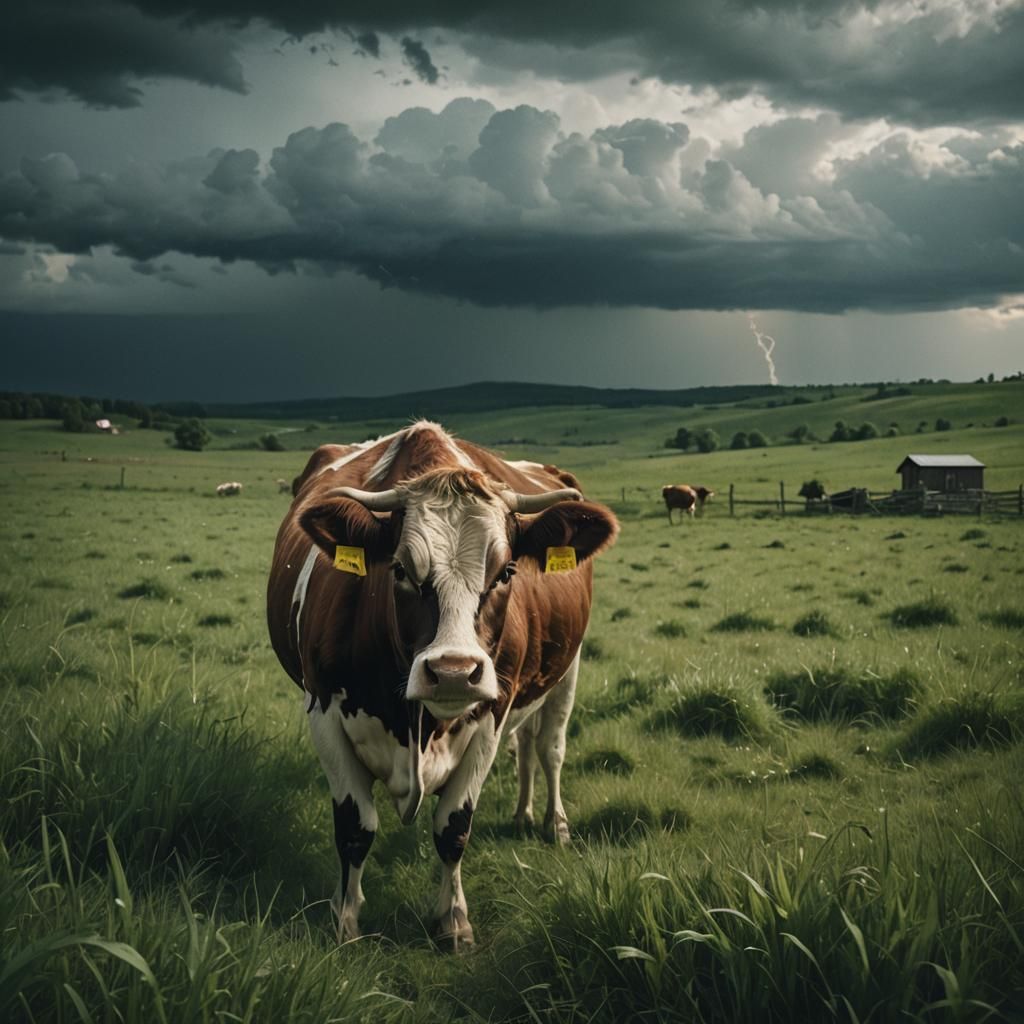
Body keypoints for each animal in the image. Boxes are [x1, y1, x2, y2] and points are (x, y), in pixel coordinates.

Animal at [267, 422, 618, 950]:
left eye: (506, 572)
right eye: (399, 570)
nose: (454, 670)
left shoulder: (491, 714)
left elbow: (453, 827)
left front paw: (453, 921)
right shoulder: (323, 710)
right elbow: (354, 828)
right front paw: (345, 920)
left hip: (567, 669)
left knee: (550, 747)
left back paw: (553, 824)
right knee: (527, 744)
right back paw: (522, 814)